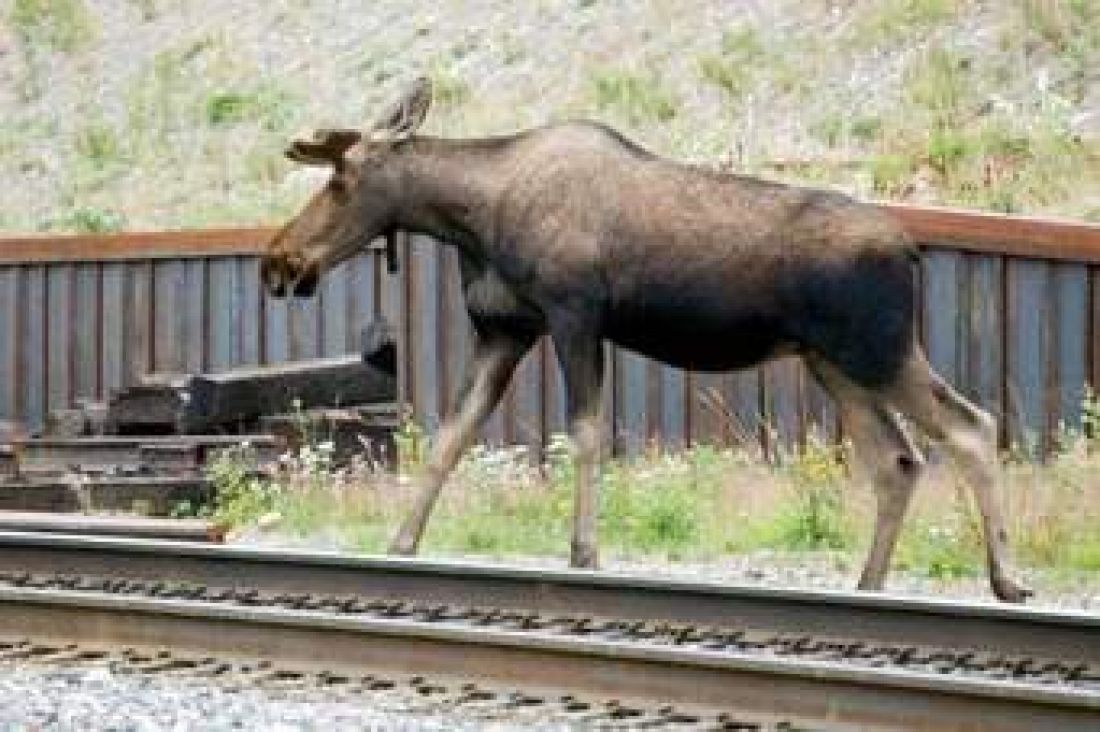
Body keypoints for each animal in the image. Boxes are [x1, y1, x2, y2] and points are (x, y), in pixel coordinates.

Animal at [264, 78, 1029, 598]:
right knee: (898, 460)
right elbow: (450, 438)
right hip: (833, 363)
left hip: (879, 349)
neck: (472, 218)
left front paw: (584, 553)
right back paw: (869, 586)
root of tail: (912, 252)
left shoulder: (574, 314)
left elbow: (586, 434)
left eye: (340, 178)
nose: (278, 259)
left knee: (971, 424)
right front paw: (401, 545)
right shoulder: (505, 332)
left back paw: (1007, 580)